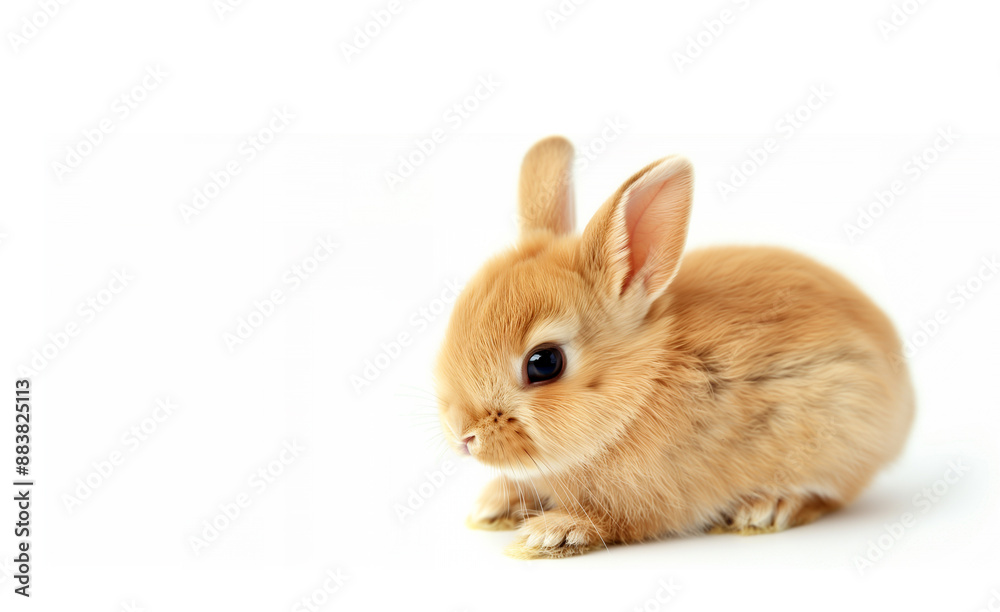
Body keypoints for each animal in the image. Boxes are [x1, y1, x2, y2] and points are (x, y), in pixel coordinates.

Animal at [434, 136, 914, 558]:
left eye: (544, 362)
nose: (463, 436)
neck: (637, 392)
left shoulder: (648, 500)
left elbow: (615, 521)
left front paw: (551, 534)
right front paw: (491, 508)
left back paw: (766, 509)